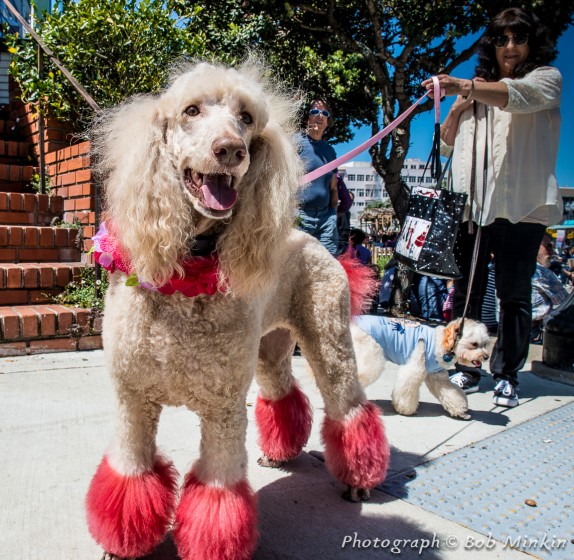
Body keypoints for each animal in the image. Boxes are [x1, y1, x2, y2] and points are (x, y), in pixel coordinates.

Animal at [354, 318, 492, 418]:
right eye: (474, 344)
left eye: (485, 344)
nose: (486, 357)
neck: (442, 342)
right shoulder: (414, 369)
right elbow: (406, 390)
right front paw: (405, 409)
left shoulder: (437, 376)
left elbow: (451, 392)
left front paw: (460, 410)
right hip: (371, 355)